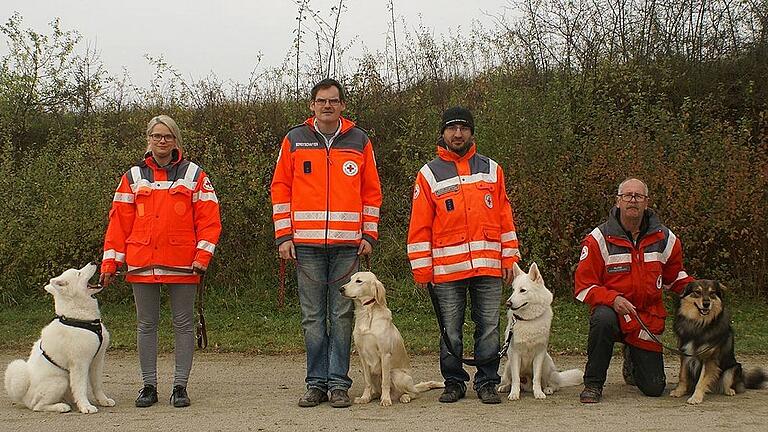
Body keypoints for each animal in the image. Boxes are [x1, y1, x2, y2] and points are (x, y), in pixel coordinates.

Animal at [3, 262, 115, 414]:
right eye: (79, 273)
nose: (94, 262)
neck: (80, 319)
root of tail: (24, 394)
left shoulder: (98, 359)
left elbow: (97, 385)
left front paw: (103, 400)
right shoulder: (79, 364)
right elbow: (81, 388)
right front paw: (85, 406)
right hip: (60, 381)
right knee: (37, 406)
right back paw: (61, 407)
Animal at [338, 272, 440, 406]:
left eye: (359, 281)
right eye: (350, 279)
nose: (341, 289)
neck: (367, 313)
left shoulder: (385, 354)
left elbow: (385, 382)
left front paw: (386, 399)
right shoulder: (362, 356)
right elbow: (367, 382)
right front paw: (365, 397)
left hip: (397, 374)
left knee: (414, 393)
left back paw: (404, 397)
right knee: (377, 390)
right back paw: (373, 395)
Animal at [498, 264, 584, 402]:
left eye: (522, 290)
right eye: (513, 290)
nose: (508, 303)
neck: (528, 320)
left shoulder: (539, 355)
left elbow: (537, 378)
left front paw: (538, 393)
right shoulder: (515, 355)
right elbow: (516, 379)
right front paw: (514, 394)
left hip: (546, 364)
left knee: (553, 384)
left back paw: (548, 389)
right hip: (508, 365)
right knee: (511, 380)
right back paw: (506, 387)